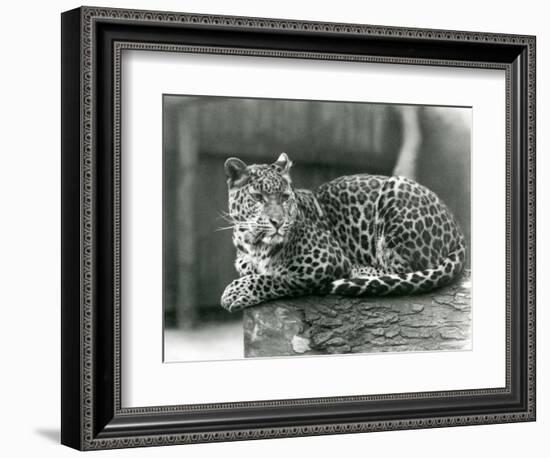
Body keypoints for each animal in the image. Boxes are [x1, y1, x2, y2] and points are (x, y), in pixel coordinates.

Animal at [220, 153, 466, 312]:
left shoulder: (324, 261)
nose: (278, 222)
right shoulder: (243, 261)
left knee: (403, 271)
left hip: (396, 189)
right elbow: (256, 270)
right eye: (258, 197)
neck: (253, 243)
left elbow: (275, 277)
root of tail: (457, 228)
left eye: (284, 197)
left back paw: (359, 271)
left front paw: (236, 291)